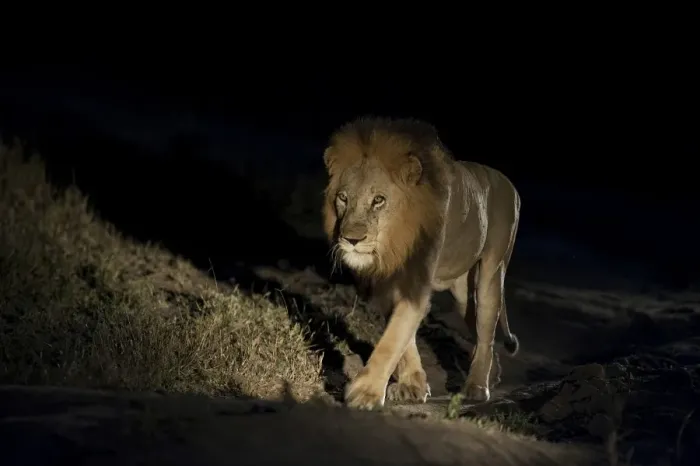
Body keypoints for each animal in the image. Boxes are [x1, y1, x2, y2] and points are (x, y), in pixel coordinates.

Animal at [321, 116, 521, 410]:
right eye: (343, 198)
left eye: (378, 200)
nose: (351, 239)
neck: (394, 242)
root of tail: (510, 184)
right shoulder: (387, 283)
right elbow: (404, 339)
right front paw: (412, 386)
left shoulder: (416, 282)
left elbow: (393, 338)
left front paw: (366, 392)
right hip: (462, 292)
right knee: (477, 325)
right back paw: (493, 374)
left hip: (491, 273)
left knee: (486, 330)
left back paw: (477, 386)